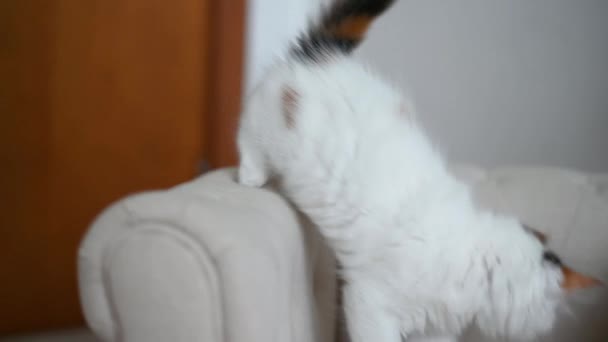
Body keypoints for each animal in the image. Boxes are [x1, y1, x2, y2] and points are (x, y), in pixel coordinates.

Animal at [235, 1, 600, 340]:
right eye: (550, 313)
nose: (548, 327)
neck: (474, 263)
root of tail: (326, 55)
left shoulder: (436, 328)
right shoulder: (369, 304)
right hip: (265, 126)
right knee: (247, 139)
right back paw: (251, 177)